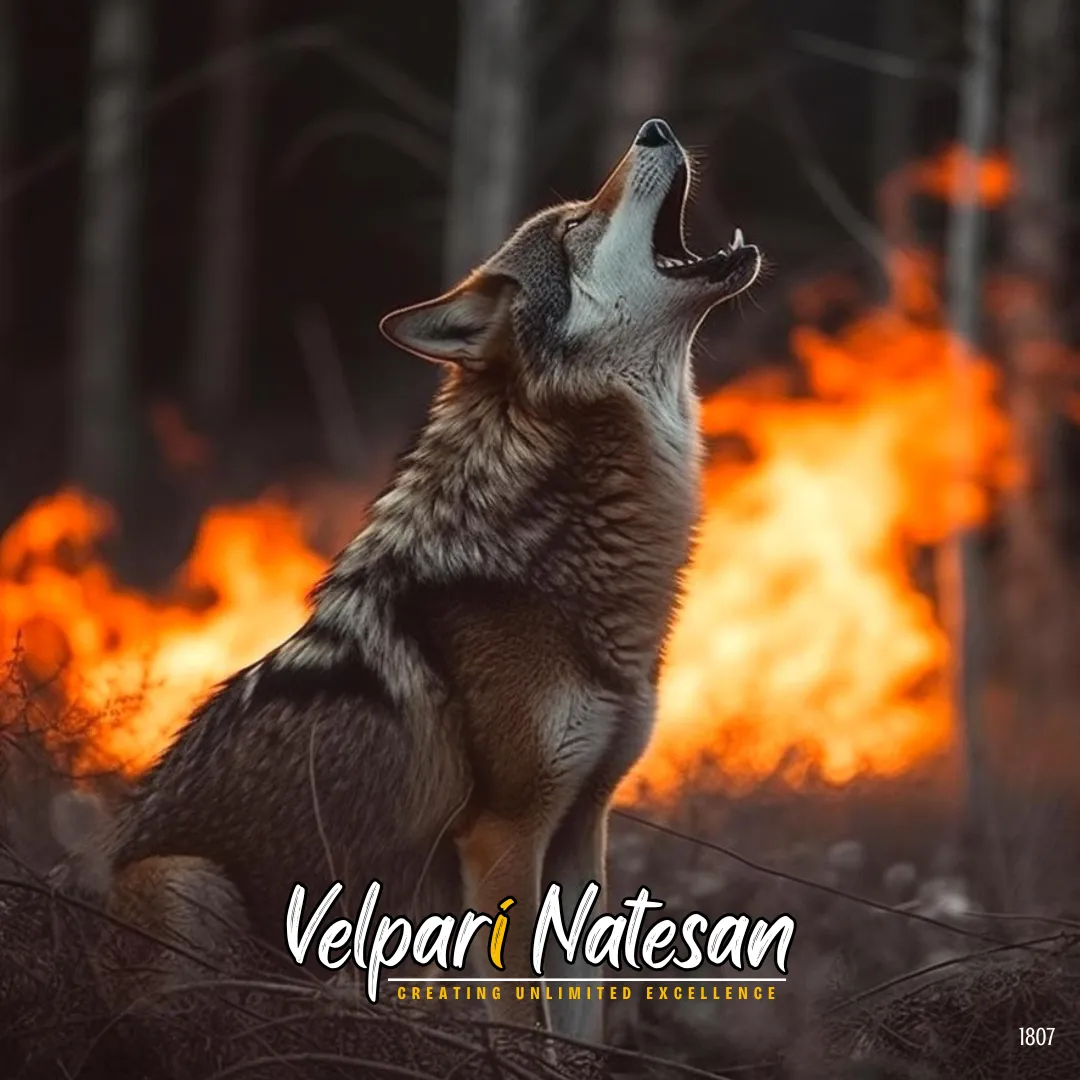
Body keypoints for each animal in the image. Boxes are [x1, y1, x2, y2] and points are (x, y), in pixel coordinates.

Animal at [51, 118, 760, 1043]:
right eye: (575, 225)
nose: (656, 128)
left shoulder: (582, 828)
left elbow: (580, 1024)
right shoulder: (502, 835)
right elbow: (525, 1021)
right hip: (186, 881)